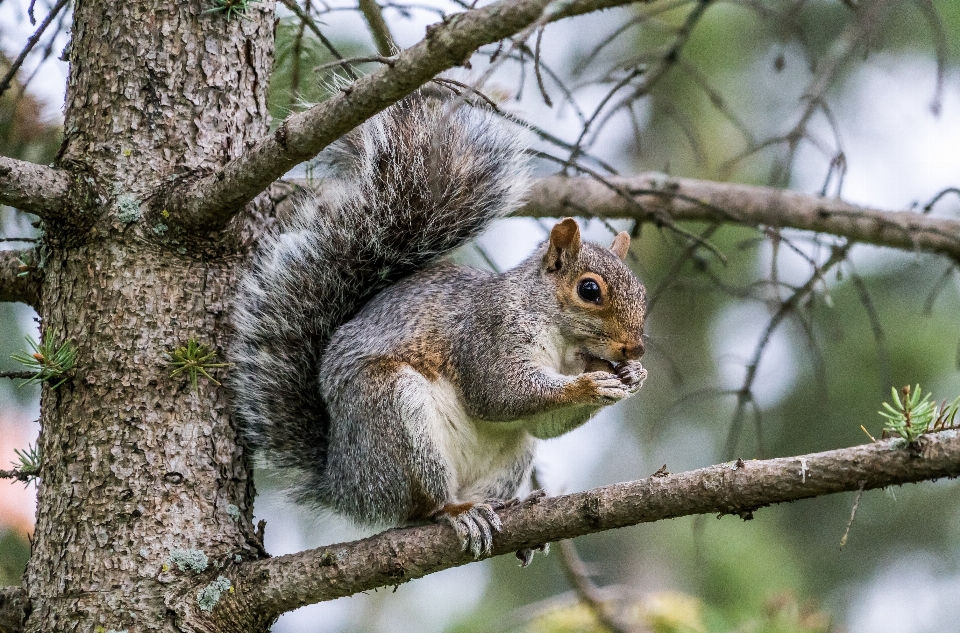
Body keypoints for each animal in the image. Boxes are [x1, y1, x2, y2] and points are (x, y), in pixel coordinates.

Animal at [232, 90, 648, 556]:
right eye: (589, 290)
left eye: (642, 292)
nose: (635, 348)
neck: (562, 341)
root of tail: (344, 483)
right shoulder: (488, 332)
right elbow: (499, 392)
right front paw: (590, 384)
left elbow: (544, 421)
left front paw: (633, 375)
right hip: (395, 414)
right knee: (420, 508)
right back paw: (455, 512)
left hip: (511, 454)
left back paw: (509, 509)